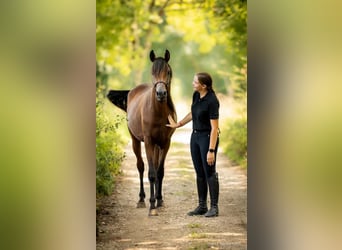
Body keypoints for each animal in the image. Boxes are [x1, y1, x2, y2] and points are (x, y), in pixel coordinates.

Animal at [108, 49, 176, 216]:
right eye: (152, 72)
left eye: (168, 72)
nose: (161, 94)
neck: (158, 112)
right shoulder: (149, 141)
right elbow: (151, 173)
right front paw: (152, 206)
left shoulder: (165, 143)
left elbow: (160, 172)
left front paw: (159, 201)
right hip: (136, 141)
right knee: (141, 166)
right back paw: (141, 199)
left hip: (157, 145)